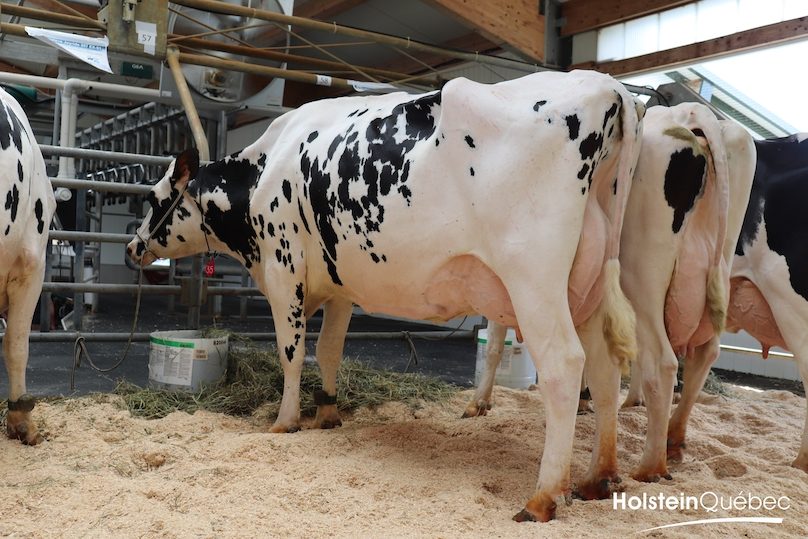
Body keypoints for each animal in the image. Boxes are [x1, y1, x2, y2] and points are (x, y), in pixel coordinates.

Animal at [126, 69, 644, 520]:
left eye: (152, 199)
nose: (132, 247)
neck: (263, 171)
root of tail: (608, 86)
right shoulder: (339, 285)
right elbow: (329, 350)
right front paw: (327, 412)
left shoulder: (283, 269)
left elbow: (291, 351)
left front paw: (285, 420)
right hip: (590, 287)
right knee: (604, 369)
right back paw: (599, 477)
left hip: (534, 281)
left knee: (565, 367)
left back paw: (543, 496)